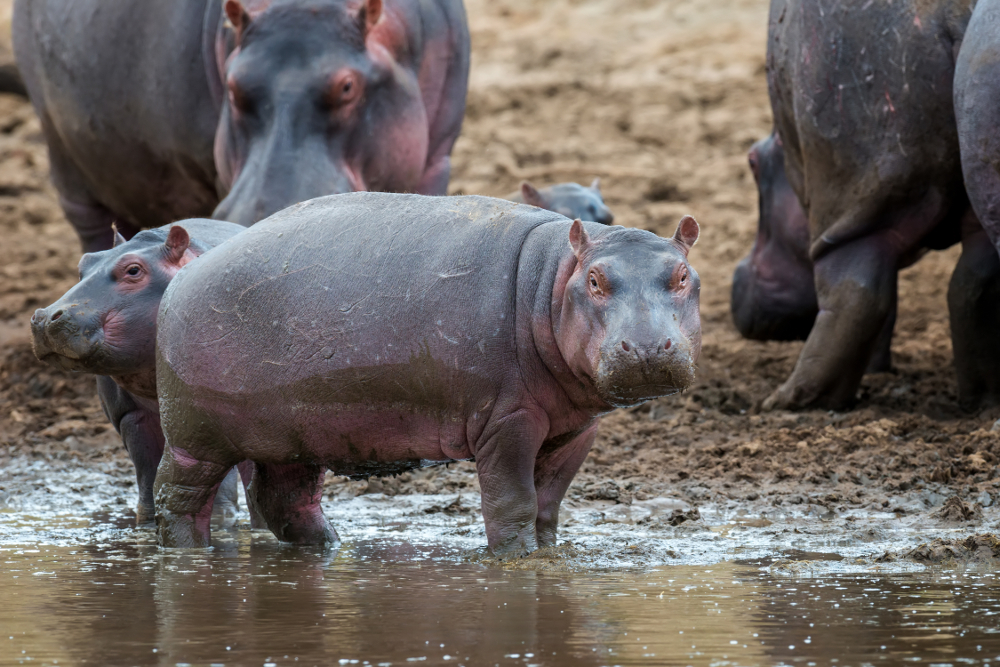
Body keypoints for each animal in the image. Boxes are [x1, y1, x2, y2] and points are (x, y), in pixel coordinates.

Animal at [28, 222, 247, 524]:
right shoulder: (130, 415)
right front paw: (145, 523)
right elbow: (147, 471)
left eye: (133, 270)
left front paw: (222, 521)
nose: (44, 318)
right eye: (84, 262)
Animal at [154, 194, 704, 560]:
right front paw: (517, 561)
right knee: (177, 497)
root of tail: (185, 275)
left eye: (683, 275)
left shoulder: (575, 428)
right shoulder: (507, 420)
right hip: (193, 436)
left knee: (287, 499)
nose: (648, 348)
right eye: (594, 280)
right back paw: (187, 556)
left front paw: (548, 556)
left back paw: (330, 548)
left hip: (294, 431)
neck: (550, 281)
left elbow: (548, 506)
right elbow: (513, 503)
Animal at [732, 0, 1000, 412]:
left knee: (856, 293)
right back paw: (981, 401)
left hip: (853, 182)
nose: (737, 277)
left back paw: (788, 402)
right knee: (972, 286)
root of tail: (950, 15)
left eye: (751, 161)